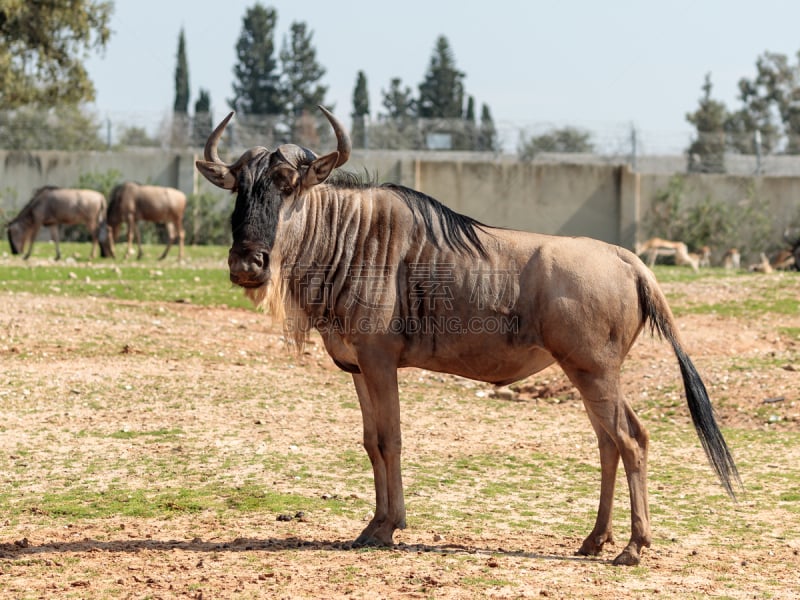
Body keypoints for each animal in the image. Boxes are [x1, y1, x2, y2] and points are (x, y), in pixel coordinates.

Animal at [195, 106, 744, 568]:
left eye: (288, 185)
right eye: (238, 187)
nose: (247, 263)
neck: (347, 238)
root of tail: (628, 260)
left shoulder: (380, 361)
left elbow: (391, 439)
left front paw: (389, 527)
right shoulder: (356, 366)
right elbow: (371, 442)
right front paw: (372, 527)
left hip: (594, 372)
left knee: (629, 441)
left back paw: (632, 548)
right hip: (590, 375)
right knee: (612, 442)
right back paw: (594, 540)